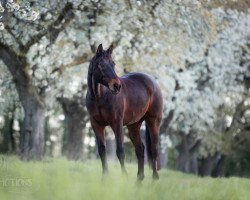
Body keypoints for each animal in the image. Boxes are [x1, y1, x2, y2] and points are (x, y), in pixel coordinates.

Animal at [86, 43, 164, 181]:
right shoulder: (96, 125)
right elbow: (102, 151)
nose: (116, 86)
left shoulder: (117, 123)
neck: (100, 98)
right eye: (100, 64)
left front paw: (124, 177)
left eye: (113, 63)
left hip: (153, 121)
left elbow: (120, 151)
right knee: (140, 149)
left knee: (154, 149)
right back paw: (139, 179)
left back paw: (154, 178)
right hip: (134, 125)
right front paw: (104, 178)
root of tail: (153, 82)